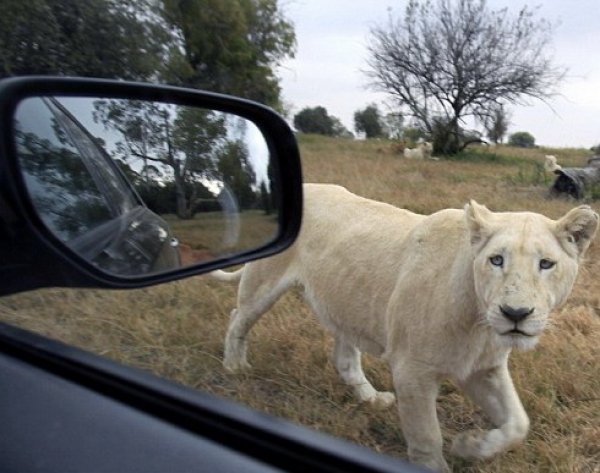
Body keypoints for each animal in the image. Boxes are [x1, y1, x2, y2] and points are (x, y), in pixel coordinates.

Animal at [211, 183, 596, 470]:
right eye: (496, 260)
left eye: (546, 263)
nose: (515, 313)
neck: (479, 324)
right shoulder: (412, 370)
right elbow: (426, 437)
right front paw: (442, 460)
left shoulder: (483, 369)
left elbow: (518, 423)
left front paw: (471, 445)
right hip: (263, 281)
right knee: (236, 317)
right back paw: (234, 366)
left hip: (346, 304)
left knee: (345, 358)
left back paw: (371, 398)